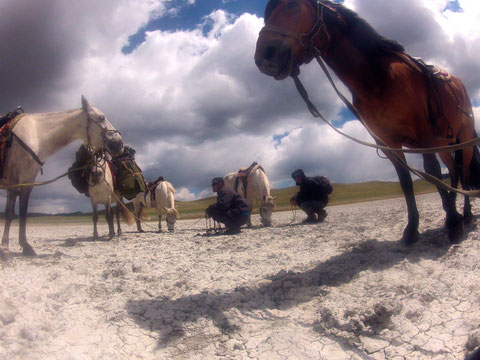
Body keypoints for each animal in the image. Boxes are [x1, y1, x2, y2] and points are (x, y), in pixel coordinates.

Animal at [0, 95, 124, 256]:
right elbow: (9, 213)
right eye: (101, 117)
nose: (119, 143)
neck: (35, 134)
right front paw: (5, 248)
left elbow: (23, 213)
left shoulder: (27, 182)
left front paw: (26, 246)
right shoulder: (14, 180)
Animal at [253, 0, 478, 245]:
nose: (264, 56)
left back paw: (465, 215)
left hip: (463, 140)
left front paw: (453, 224)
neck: (378, 78)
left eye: (292, 5)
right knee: (454, 172)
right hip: (445, 144)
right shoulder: (389, 143)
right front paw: (412, 230)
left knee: (464, 173)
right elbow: (406, 182)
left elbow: (434, 173)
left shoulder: (424, 136)